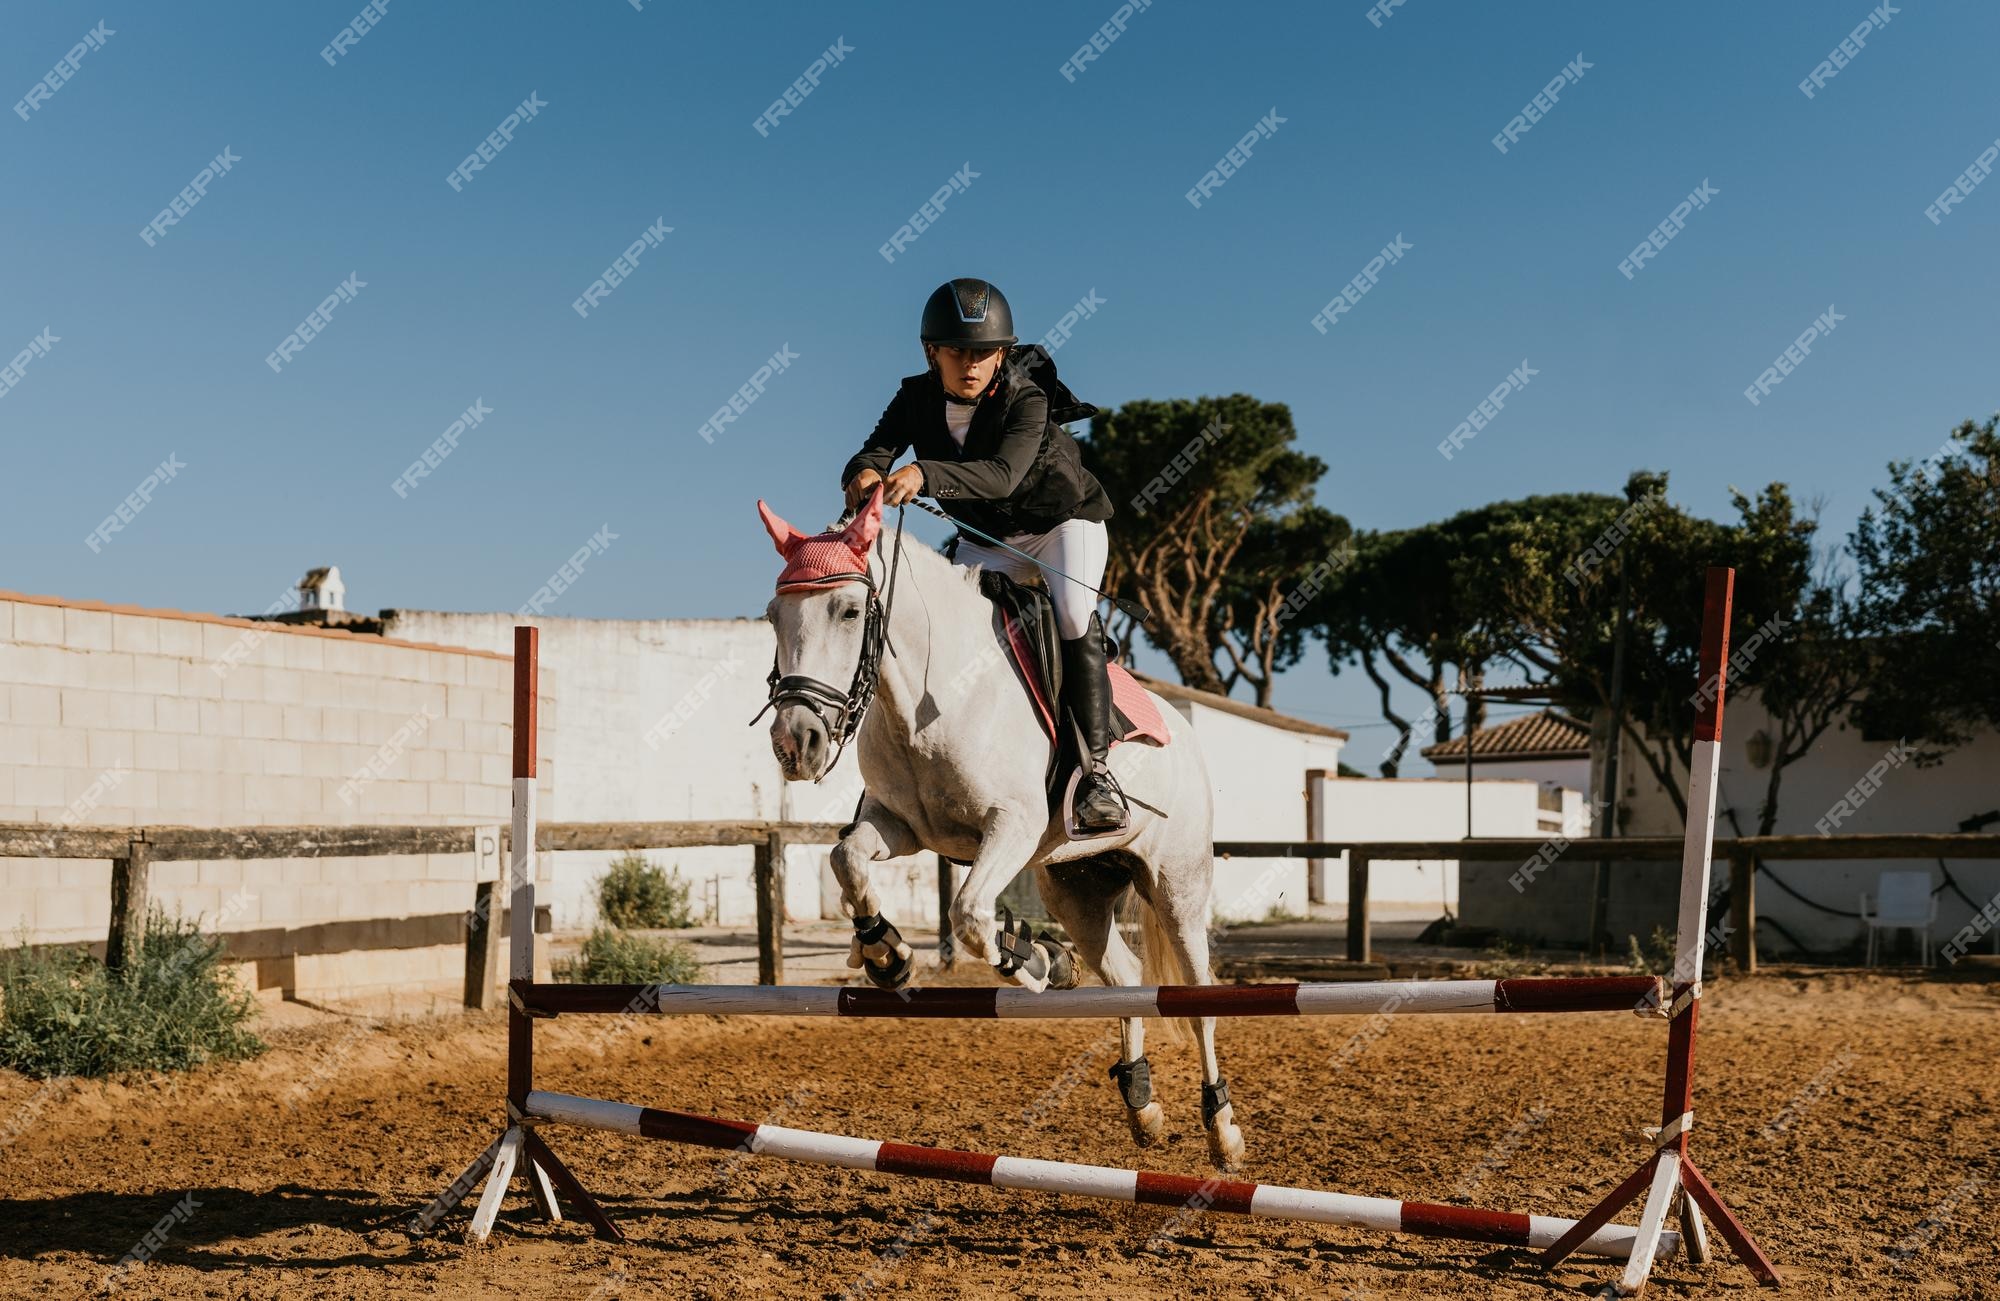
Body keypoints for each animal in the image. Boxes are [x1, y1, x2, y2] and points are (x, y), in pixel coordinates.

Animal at [756, 488, 1240, 1168]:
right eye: (774, 615)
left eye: (850, 611)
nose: (794, 744)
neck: (930, 691)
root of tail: (1186, 734)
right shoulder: (900, 825)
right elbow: (846, 861)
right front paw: (886, 954)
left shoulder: (1013, 825)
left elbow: (968, 914)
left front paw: (1036, 960)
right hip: (1077, 886)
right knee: (1123, 975)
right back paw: (1142, 1105)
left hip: (1178, 886)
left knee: (1199, 1001)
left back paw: (1222, 1129)